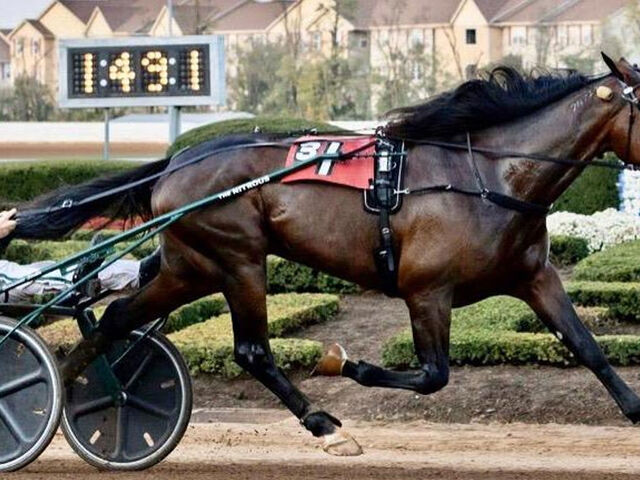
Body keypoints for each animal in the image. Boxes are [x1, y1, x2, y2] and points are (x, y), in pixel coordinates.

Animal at [9, 54, 640, 456]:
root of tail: (178, 161)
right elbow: (433, 375)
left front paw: (634, 410)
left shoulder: (535, 276)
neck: (487, 176)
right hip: (238, 259)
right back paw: (326, 426)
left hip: (192, 267)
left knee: (115, 318)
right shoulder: (427, 291)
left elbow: (589, 348)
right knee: (252, 351)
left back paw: (59, 398)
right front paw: (343, 363)